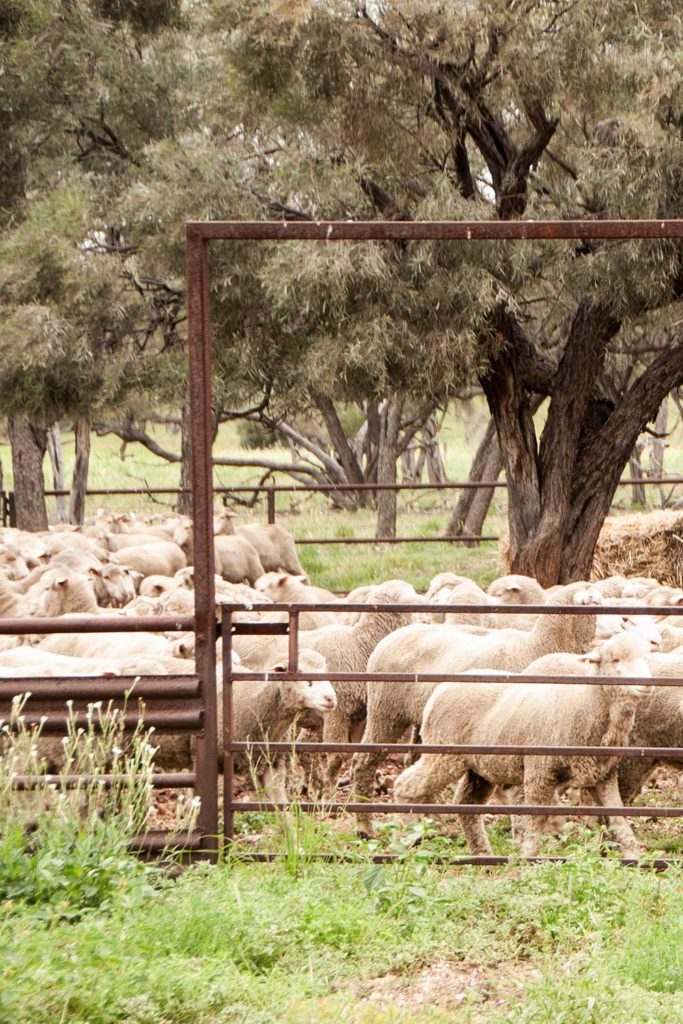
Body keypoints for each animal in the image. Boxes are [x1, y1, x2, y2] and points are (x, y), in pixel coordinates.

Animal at [393, 630, 655, 856]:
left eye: (646, 657)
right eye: (615, 659)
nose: (646, 683)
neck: (585, 704)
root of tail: (440, 691)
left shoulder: (603, 775)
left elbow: (618, 817)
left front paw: (633, 856)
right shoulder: (539, 770)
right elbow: (537, 817)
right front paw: (528, 856)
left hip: (480, 767)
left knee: (466, 804)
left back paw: (483, 855)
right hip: (443, 753)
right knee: (406, 786)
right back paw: (403, 838)